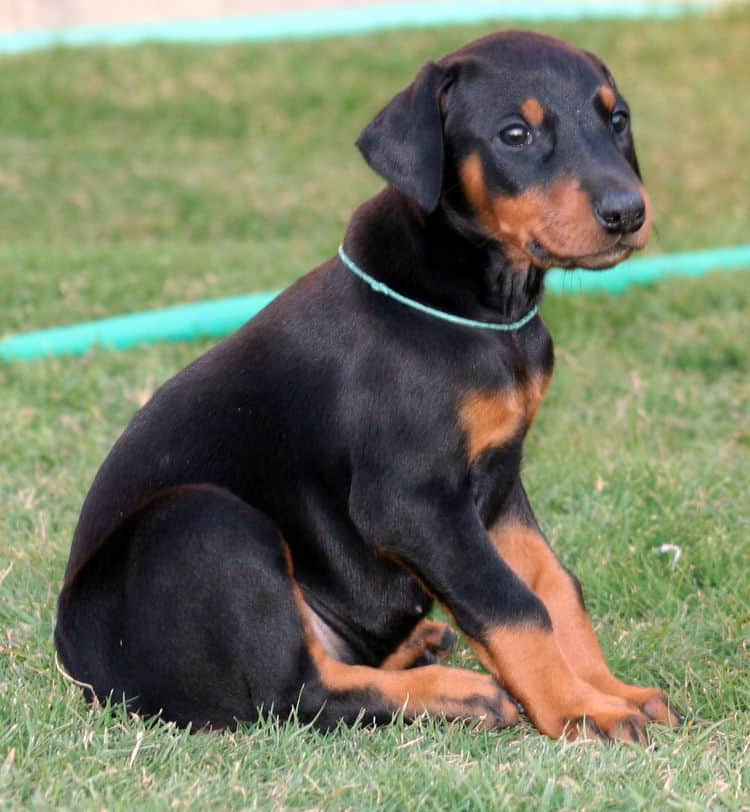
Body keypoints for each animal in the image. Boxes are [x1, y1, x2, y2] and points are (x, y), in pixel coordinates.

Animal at [55, 30, 684, 744]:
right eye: (515, 134)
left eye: (617, 119)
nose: (627, 211)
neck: (485, 308)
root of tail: (80, 670)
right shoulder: (411, 502)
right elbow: (512, 604)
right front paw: (582, 709)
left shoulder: (498, 481)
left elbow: (555, 586)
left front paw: (612, 690)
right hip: (201, 520)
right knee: (297, 693)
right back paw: (462, 694)